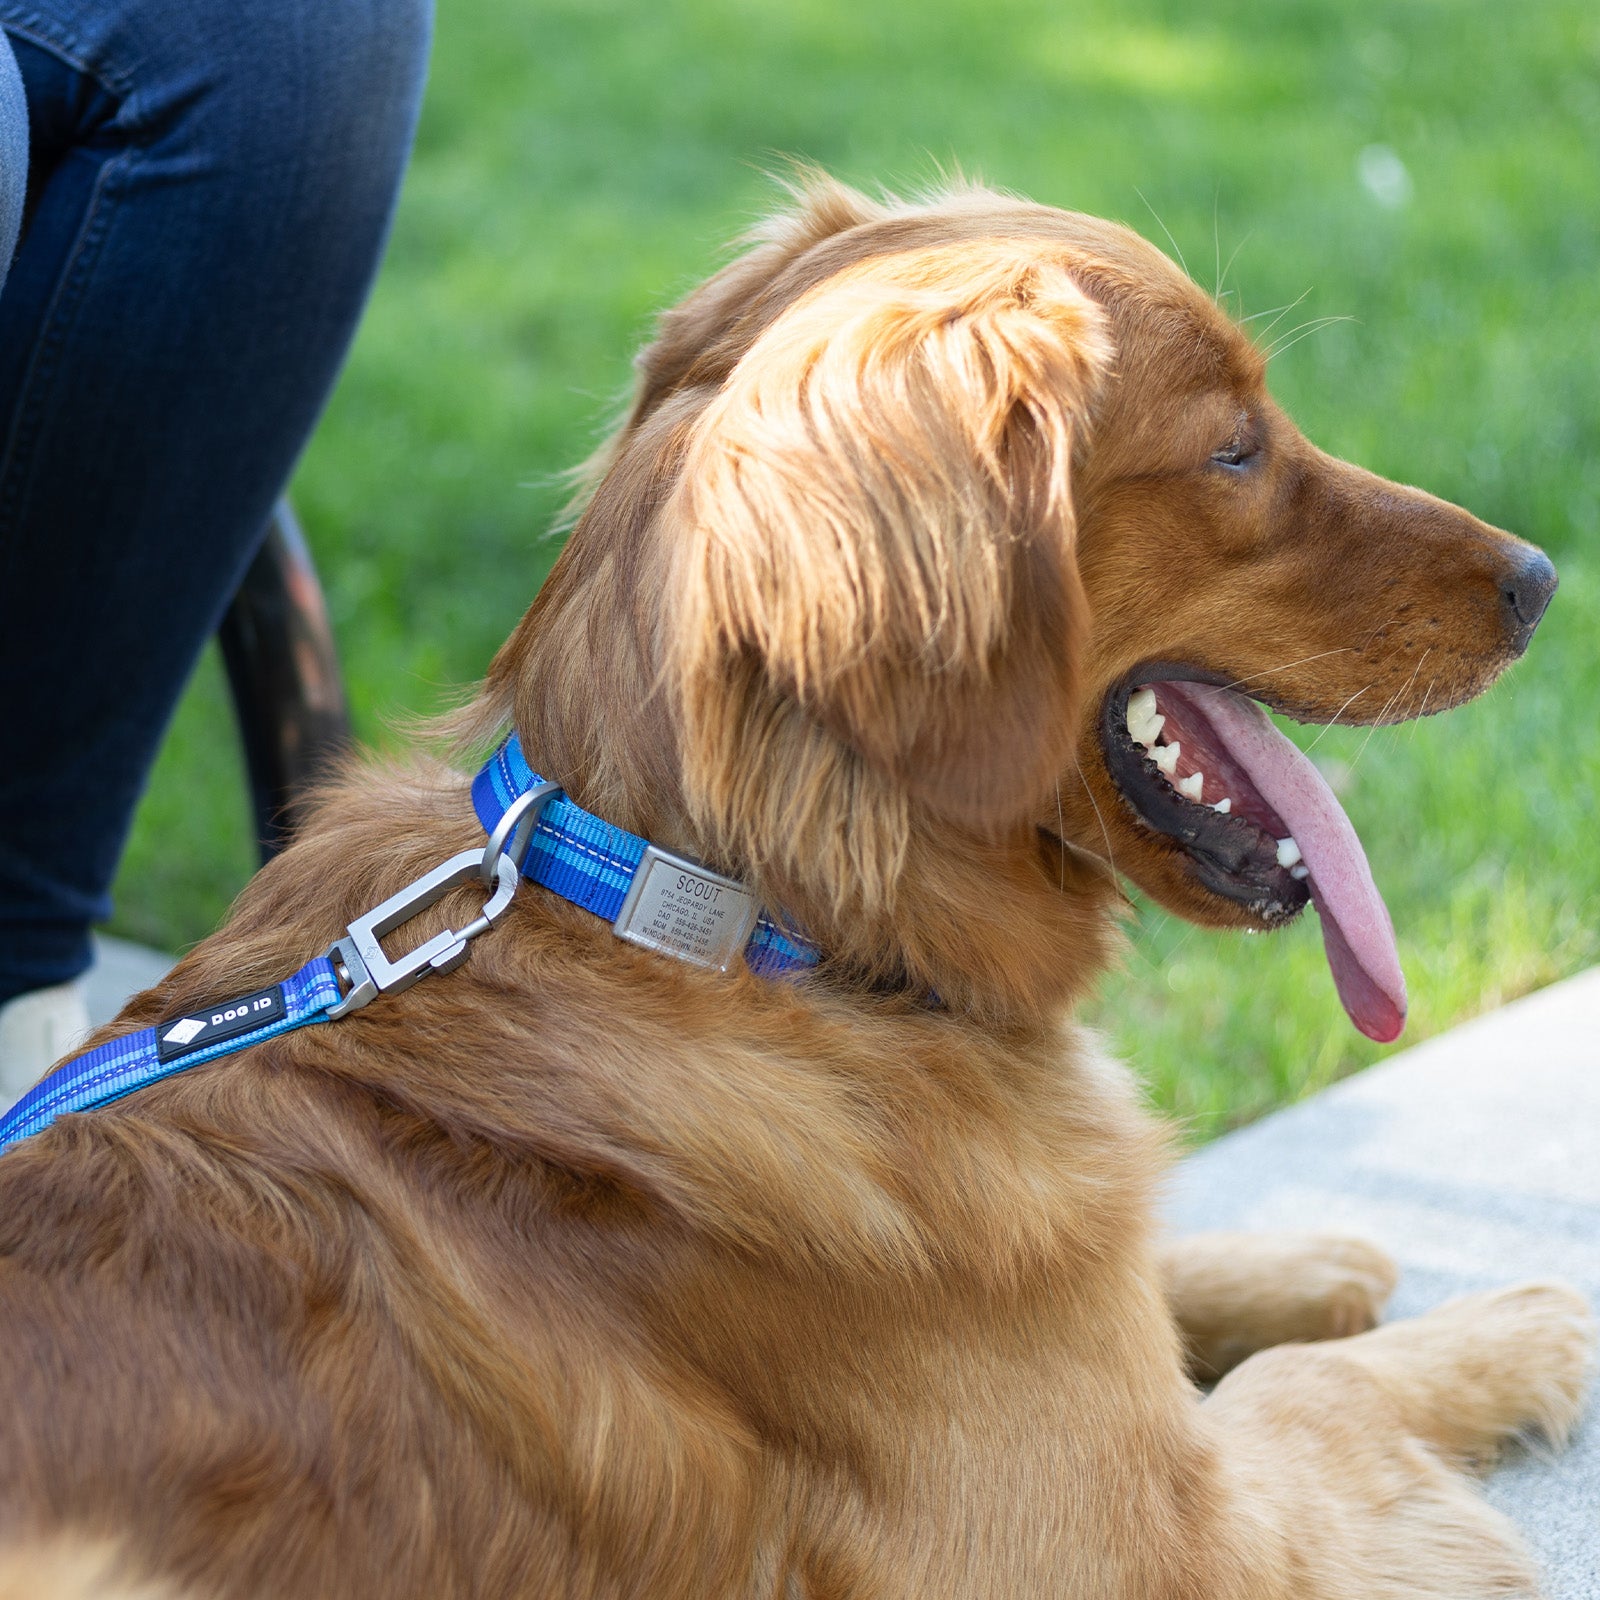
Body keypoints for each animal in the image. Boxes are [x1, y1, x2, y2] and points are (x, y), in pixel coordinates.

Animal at [0, 175, 1587, 1600]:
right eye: (1236, 451)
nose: (1541, 576)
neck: (748, 917)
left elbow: (1166, 1281)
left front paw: (1299, 1254)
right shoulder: (1152, 1542)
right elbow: (1318, 1386)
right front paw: (1517, 1324)